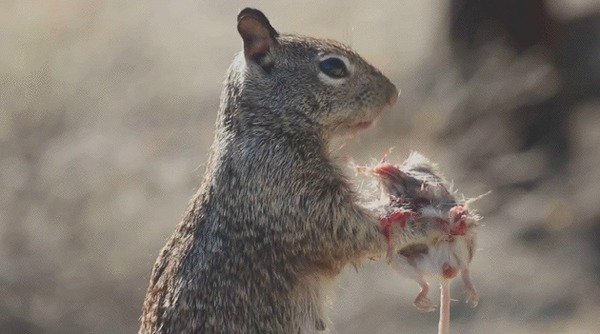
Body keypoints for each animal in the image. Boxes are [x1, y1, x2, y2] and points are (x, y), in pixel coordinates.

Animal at [138, 7, 440, 334]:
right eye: (333, 66)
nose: (393, 94)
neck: (269, 130)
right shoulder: (303, 203)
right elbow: (364, 234)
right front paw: (430, 224)